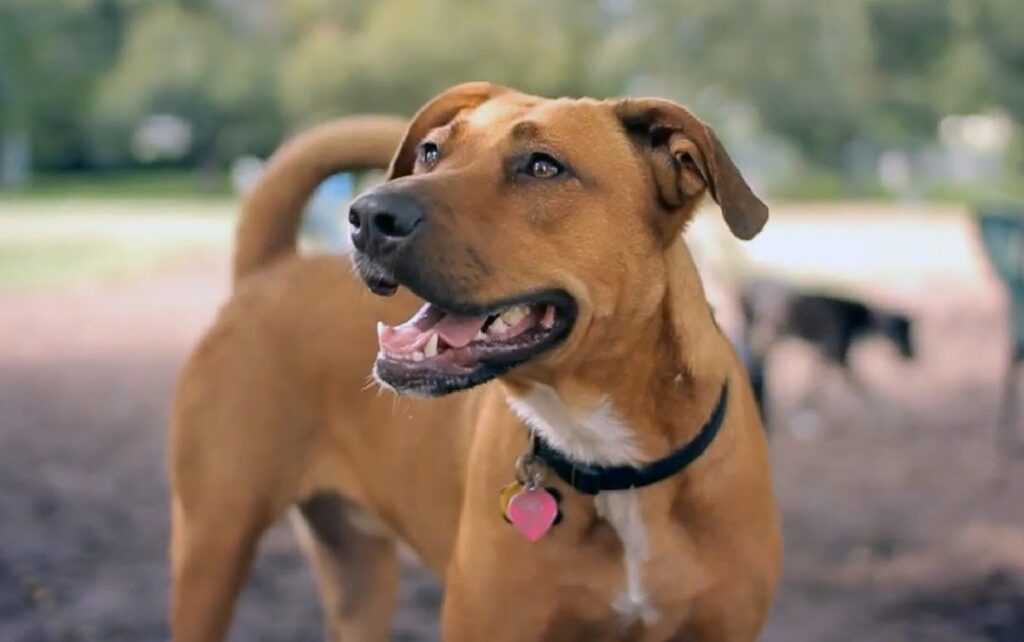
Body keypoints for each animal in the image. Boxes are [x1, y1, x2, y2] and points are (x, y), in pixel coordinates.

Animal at [169, 85, 774, 642]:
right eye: (432, 151)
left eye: (543, 166)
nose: (367, 215)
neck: (609, 458)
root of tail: (269, 271)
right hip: (211, 546)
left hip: (356, 571)